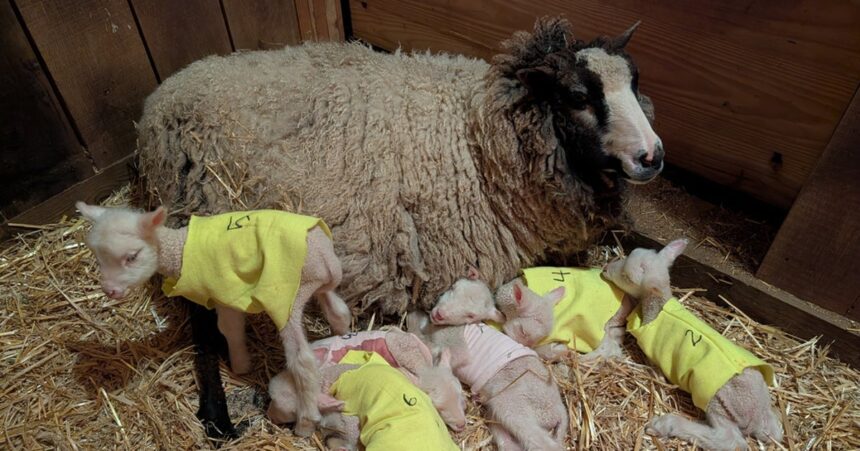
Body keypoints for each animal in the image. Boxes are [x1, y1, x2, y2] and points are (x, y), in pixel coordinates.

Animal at [74, 203, 351, 437]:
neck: (179, 249)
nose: (110, 291)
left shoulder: (224, 292)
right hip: (315, 285)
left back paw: (306, 422)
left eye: (132, 256)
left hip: (285, 297)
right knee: (339, 312)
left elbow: (229, 329)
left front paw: (240, 365)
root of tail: (325, 256)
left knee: (302, 360)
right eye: (98, 257)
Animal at [602, 239, 783, 450]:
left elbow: (655, 370)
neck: (658, 307)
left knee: (730, 441)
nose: (605, 268)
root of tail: (758, 417)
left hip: (719, 403)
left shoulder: (654, 354)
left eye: (626, 277)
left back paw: (666, 424)